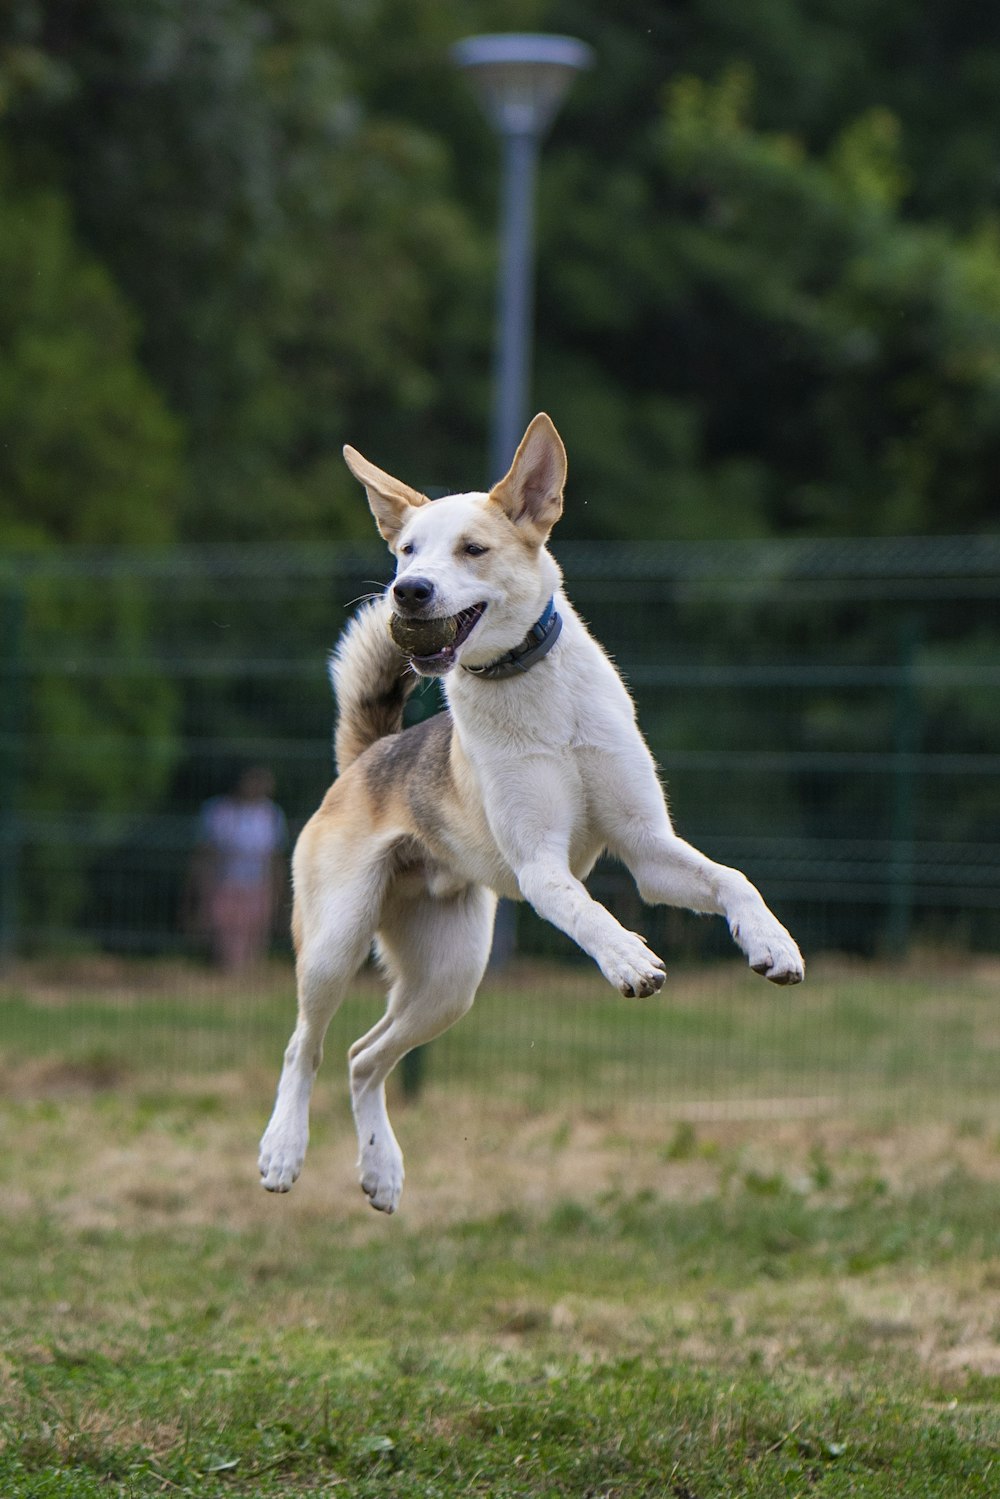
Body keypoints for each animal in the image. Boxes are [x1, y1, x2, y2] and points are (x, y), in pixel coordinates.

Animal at [260, 416, 803, 1211]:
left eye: (472, 549)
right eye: (407, 549)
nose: (406, 591)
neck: (534, 691)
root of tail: (371, 755)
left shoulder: (649, 848)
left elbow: (734, 878)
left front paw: (772, 944)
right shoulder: (542, 866)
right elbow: (587, 911)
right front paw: (628, 959)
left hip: (451, 979)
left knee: (364, 1057)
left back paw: (381, 1171)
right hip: (337, 939)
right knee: (306, 1045)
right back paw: (282, 1150)